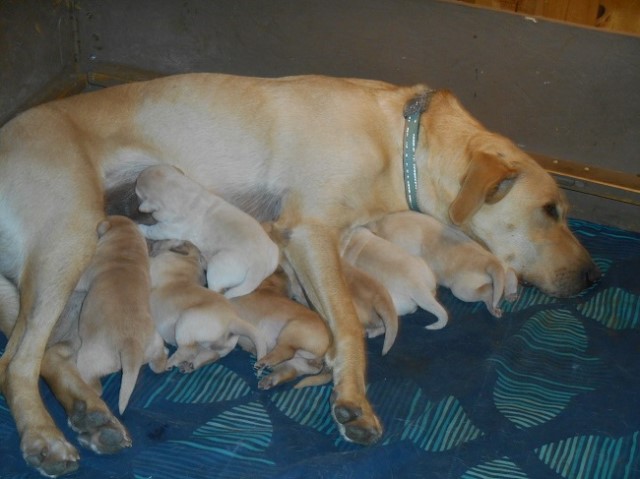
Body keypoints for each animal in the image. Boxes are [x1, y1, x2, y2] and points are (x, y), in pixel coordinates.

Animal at [135, 167, 278, 298]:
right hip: (274, 253)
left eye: (137, 191)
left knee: (216, 289)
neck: (186, 194)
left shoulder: (169, 228)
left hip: (218, 266)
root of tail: (259, 266)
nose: (134, 183)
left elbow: (153, 230)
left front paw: (140, 227)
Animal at [148, 239, 268, 372]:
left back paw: (167, 363)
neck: (191, 259)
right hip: (217, 349)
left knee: (188, 350)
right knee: (208, 354)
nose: (153, 242)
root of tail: (233, 319)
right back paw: (188, 365)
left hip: (186, 319)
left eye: (165, 240)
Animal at [364, 211, 520, 316]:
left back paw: (493, 307)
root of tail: (490, 262)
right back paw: (511, 295)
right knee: (510, 277)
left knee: (488, 292)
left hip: (461, 290)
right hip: (504, 268)